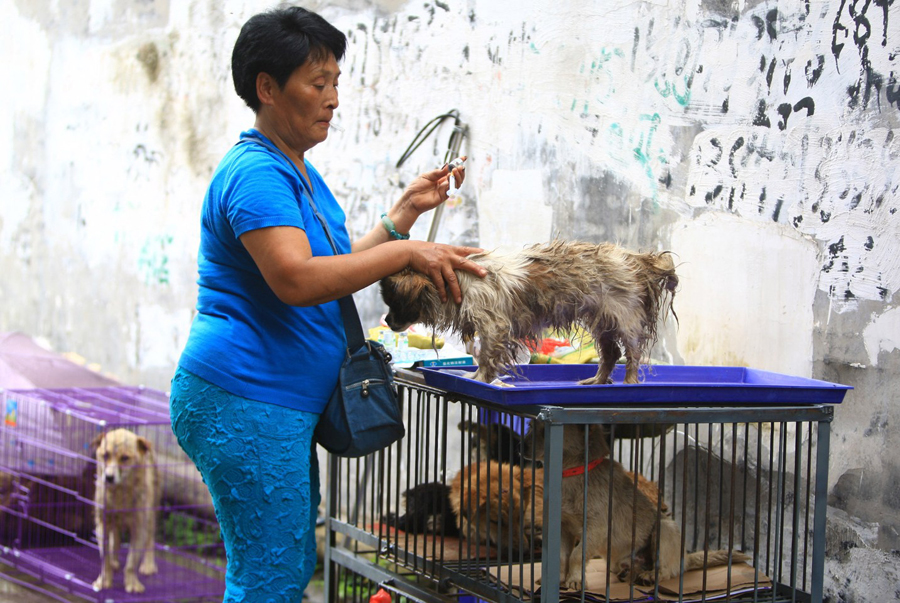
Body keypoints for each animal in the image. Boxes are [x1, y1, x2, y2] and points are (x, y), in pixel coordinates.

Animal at [93, 430, 162, 596]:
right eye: (105, 455)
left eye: (125, 458)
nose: (109, 477)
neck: (119, 493)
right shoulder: (102, 525)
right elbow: (105, 556)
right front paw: (104, 580)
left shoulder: (139, 529)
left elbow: (131, 561)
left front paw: (132, 584)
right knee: (115, 540)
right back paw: (114, 560)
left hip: (151, 513)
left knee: (150, 539)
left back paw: (148, 564)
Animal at [378, 239, 676, 382]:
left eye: (395, 303)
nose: (388, 321)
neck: (459, 280)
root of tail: (638, 261)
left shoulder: (494, 326)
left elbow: (486, 358)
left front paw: (481, 378)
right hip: (602, 321)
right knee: (612, 354)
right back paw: (597, 380)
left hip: (625, 320)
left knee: (633, 355)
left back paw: (630, 382)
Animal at [524, 422, 748, 592]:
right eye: (530, 426)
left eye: (544, 431)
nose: (521, 446)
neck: (574, 473)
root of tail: (685, 557)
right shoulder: (563, 529)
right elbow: (563, 556)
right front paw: (558, 579)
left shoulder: (595, 529)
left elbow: (577, 555)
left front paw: (575, 579)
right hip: (617, 560)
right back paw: (631, 571)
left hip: (665, 528)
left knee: (668, 571)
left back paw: (649, 575)